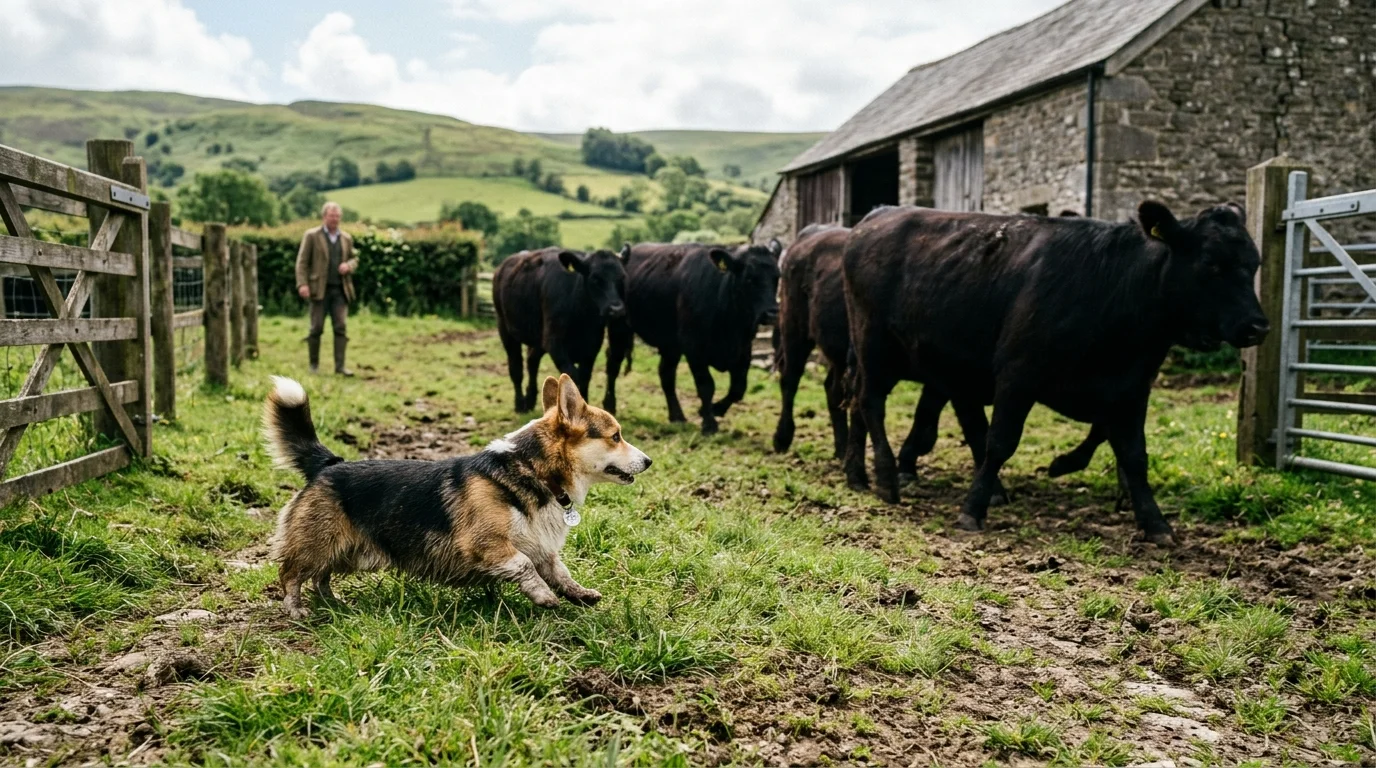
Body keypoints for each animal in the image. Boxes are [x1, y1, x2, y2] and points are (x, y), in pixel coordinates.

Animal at [493, 247, 628, 413]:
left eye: (622, 278)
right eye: (595, 279)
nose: (616, 309)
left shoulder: (592, 346)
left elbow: (585, 377)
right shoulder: (555, 344)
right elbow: (573, 377)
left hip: (538, 338)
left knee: (532, 361)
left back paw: (530, 400)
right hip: (505, 329)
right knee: (516, 368)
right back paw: (520, 404)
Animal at [617, 240, 781, 435]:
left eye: (777, 277)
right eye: (749, 278)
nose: (771, 313)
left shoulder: (743, 350)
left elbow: (738, 388)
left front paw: (714, 409)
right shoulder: (694, 349)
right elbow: (706, 386)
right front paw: (709, 423)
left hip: (670, 345)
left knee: (666, 374)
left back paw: (677, 416)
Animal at [843, 202, 1268, 545]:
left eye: (1254, 264)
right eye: (1211, 264)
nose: (1257, 326)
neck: (1115, 289)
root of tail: (876, 216)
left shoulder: (1132, 388)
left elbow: (1133, 455)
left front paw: (1155, 523)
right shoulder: (1017, 375)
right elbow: (1000, 443)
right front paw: (973, 509)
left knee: (864, 407)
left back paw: (857, 475)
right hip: (874, 346)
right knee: (870, 403)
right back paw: (885, 477)